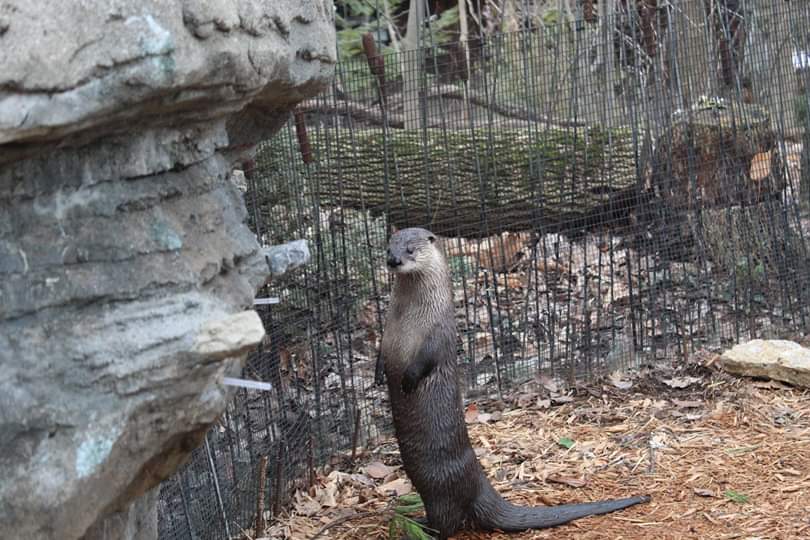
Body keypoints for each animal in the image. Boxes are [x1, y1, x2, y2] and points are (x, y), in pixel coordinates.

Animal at [380, 227, 649, 539]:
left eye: (410, 249)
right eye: (389, 248)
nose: (394, 260)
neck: (409, 316)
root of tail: (479, 484)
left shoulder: (439, 333)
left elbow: (425, 361)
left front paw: (408, 380)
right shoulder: (388, 334)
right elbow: (380, 356)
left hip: (441, 488)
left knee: (447, 522)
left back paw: (417, 526)